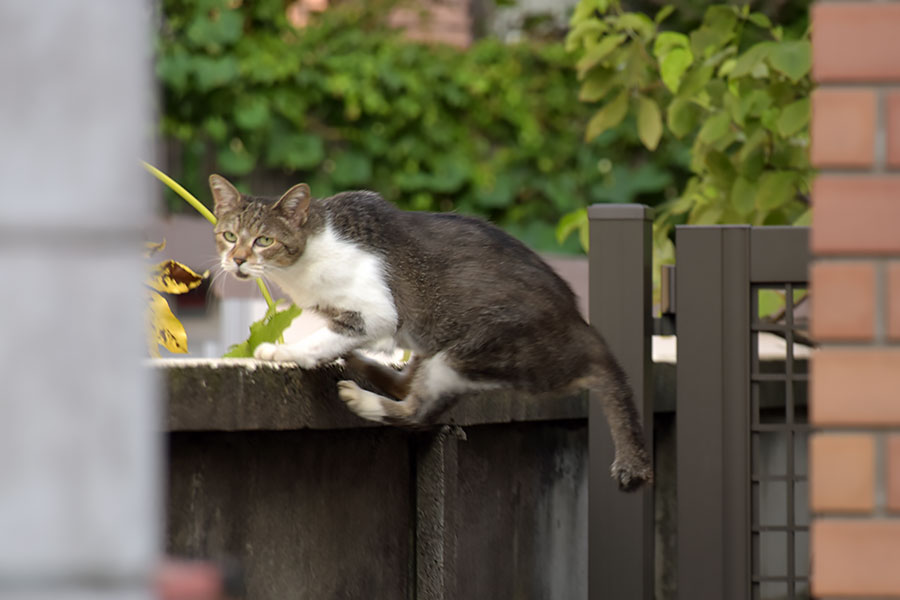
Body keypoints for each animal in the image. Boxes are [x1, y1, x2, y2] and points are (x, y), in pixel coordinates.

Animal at [207, 175, 652, 492]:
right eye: (228, 236)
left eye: (264, 240)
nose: (238, 261)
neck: (302, 267)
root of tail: (585, 333)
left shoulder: (378, 314)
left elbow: (329, 334)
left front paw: (285, 352)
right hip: (433, 347)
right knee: (406, 384)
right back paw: (359, 365)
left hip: (466, 352)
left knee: (417, 413)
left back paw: (360, 397)